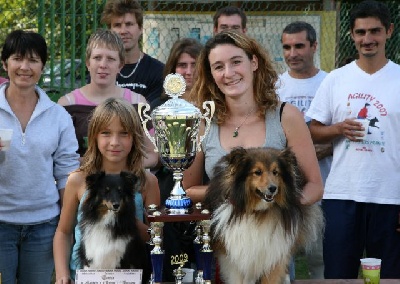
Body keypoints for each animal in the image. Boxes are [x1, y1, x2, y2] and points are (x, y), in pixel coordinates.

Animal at [203, 148, 324, 282]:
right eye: (257, 172)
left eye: (275, 172)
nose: (273, 188)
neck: (258, 212)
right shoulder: (233, 258)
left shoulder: (273, 256)